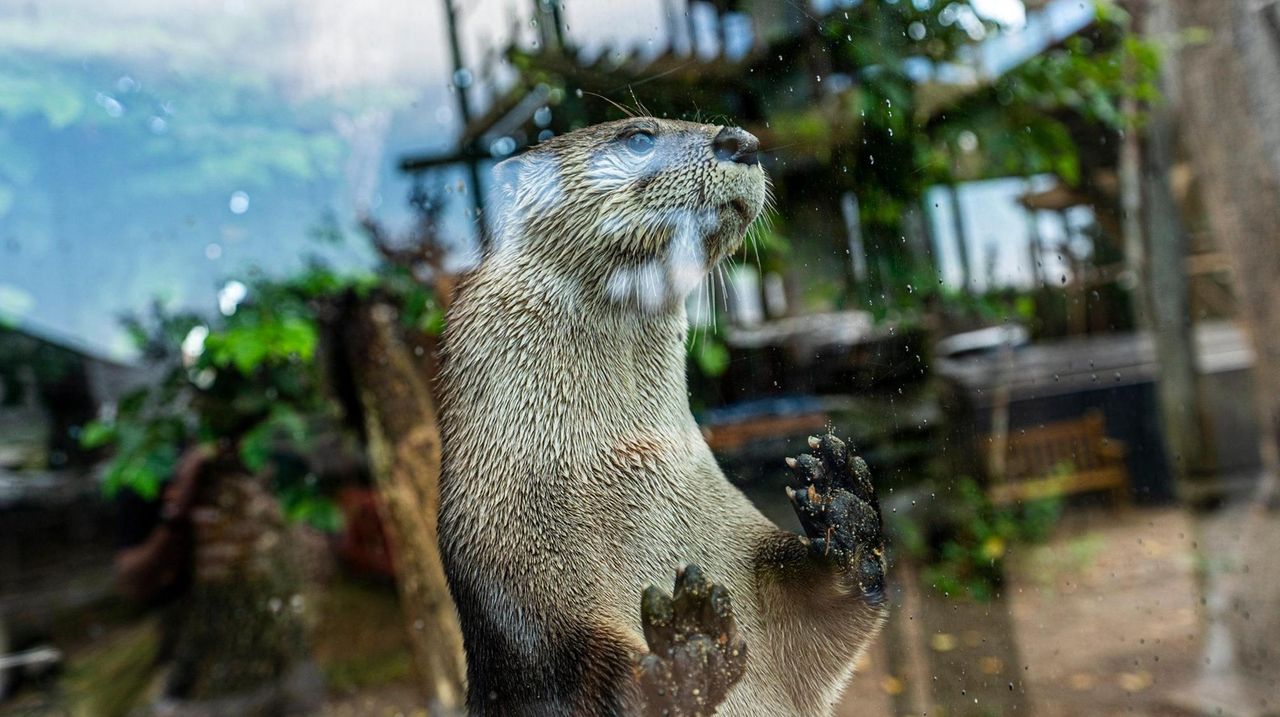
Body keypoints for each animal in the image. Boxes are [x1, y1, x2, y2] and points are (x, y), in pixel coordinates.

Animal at [438, 117, 886, 716]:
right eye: (639, 138)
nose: (741, 141)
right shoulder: (510, 583)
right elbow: (578, 676)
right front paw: (685, 650)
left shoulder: (737, 541)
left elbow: (814, 617)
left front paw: (843, 507)